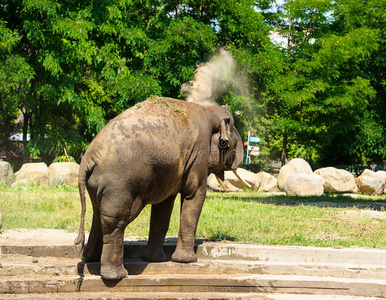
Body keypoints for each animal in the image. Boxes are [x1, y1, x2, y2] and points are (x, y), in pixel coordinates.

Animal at [74, 96, 244, 282]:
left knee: (98, 216)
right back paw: (117, 276)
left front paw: (156, 260)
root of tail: (88, 158)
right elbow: (194, 194)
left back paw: (90, 259)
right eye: (234, 143)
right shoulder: (198, 154)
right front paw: (187, 261)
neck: (209, 110)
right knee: (115, 222)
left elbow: (164, 207)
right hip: (119, 186)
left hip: (97, 184)